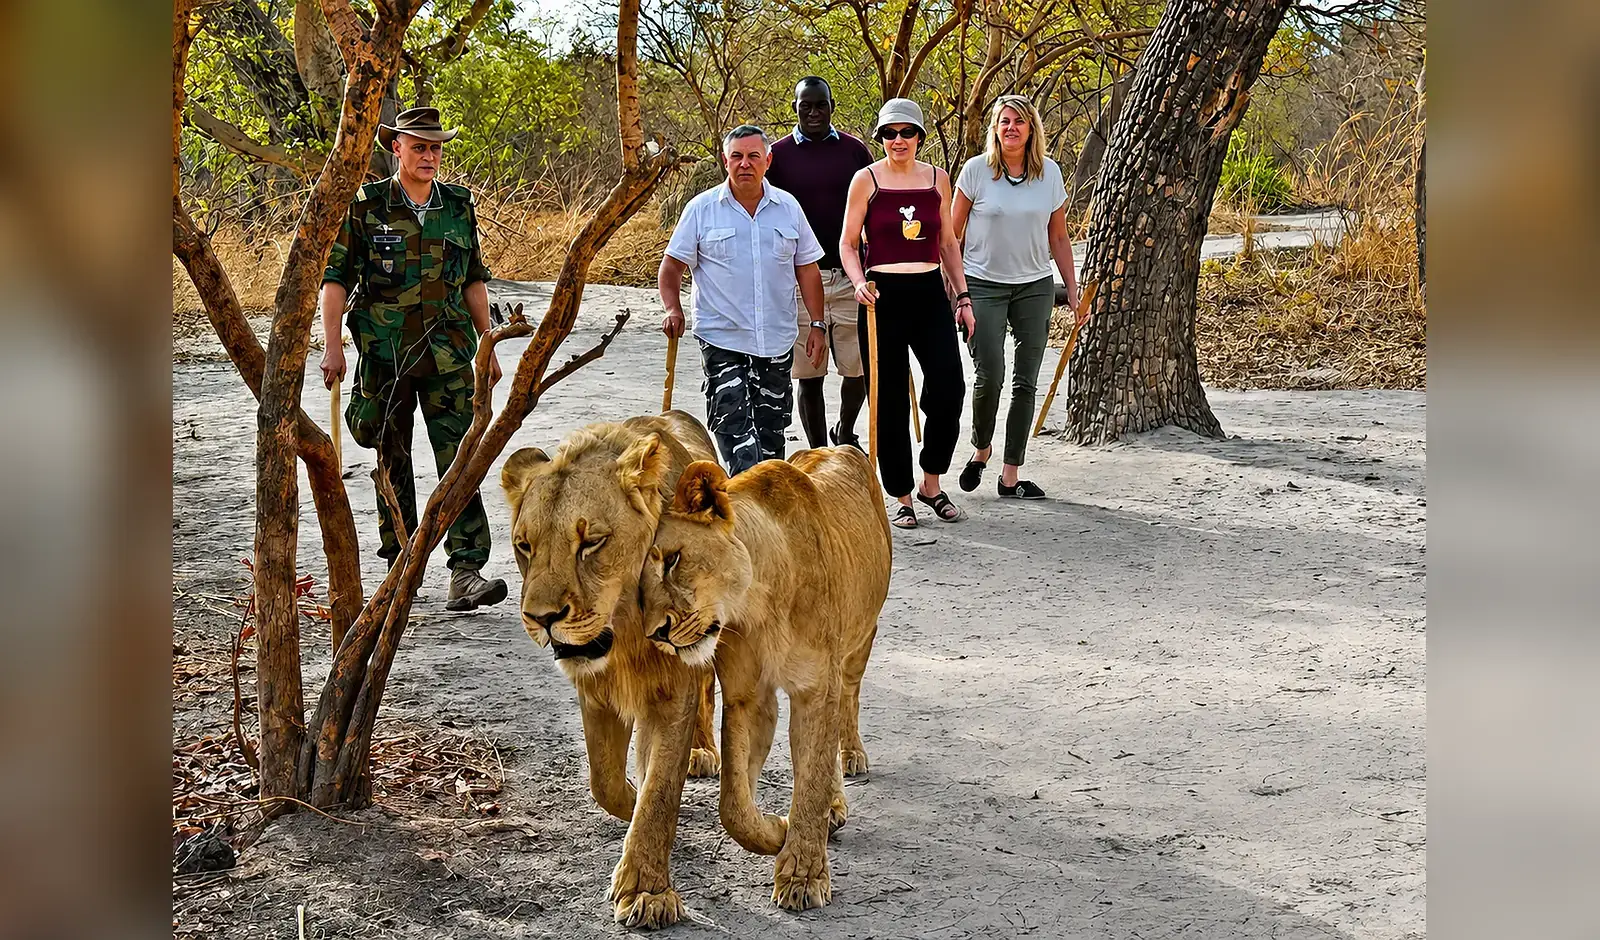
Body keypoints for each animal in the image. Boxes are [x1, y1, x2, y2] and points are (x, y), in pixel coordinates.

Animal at [500, 410, 721, 929]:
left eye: (592, 543)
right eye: (524, 546)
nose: (541, 618)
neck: (625, 632)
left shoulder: (674, 688)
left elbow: (661, 789)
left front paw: (647, 891)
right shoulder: (594, 688)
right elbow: (603, 780)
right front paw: (628, 793)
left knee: (708, 688)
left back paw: (702, 750)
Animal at [639, 446, 892, 912]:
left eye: (673, 559)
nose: (656, 634)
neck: (756, 603)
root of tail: (837, 446)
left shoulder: (817, 688)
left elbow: (810, 778)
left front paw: (803, 876)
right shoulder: (748, 696)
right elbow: (734, 805)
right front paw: (777, 830)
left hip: (860, 640)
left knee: (848, 702)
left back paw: (850, 758)